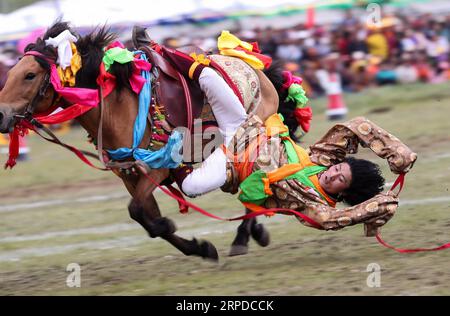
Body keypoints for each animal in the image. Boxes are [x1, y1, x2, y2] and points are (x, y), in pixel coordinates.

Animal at [0, 21, 280, 260]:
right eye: (10, 72)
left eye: (29, 75)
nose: (1, 114)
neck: (118, 108)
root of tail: (253, 66)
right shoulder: (131, 176)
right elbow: (145, 217)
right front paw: (199, 247)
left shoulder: (156, 169)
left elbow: (137, 211)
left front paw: (172, 227)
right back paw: (255, 231)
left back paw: (243, 237)